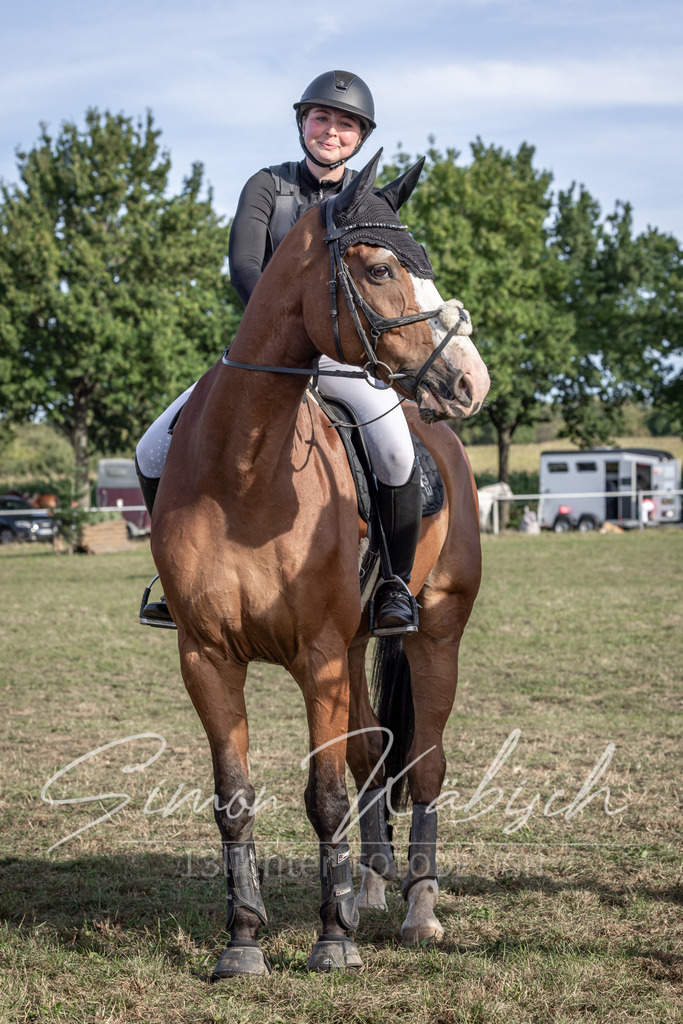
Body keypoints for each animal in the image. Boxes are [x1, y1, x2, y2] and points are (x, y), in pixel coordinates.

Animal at [150, 150, 490, 977]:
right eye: (379, 268)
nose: (471, 380)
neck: (245, 471)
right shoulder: (205, 657)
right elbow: (233, 796)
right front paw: (243, 941)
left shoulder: (320, 656)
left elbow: (324, 794)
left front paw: (331, 941)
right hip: (362, 642)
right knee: (373, 752)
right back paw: (366, 889)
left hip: (433, 634)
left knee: (422, 764)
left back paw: (416, 909)